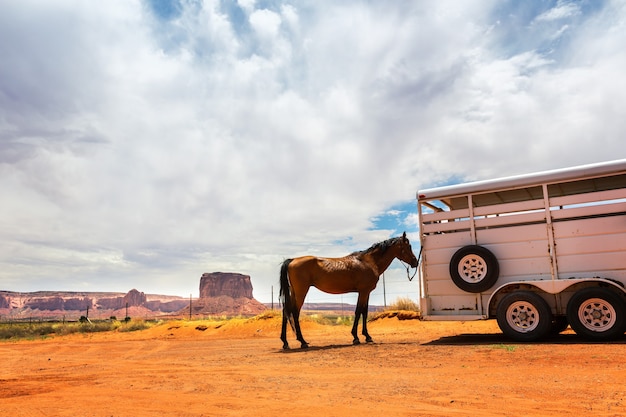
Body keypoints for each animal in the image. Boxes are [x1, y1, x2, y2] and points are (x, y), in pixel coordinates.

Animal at [276, 231, 414, 348]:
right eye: (409, 246)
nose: (415, 262)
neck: (368, 262)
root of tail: (292, 260)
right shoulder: (363, 292)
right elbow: (358, 312)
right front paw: (356, 337)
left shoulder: (366, 292)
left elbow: (364, 312)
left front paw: (367, 336)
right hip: (301, 292)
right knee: (295, 312)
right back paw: (302, 341)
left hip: (294, 292)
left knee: (286, 310)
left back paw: (285, 343)